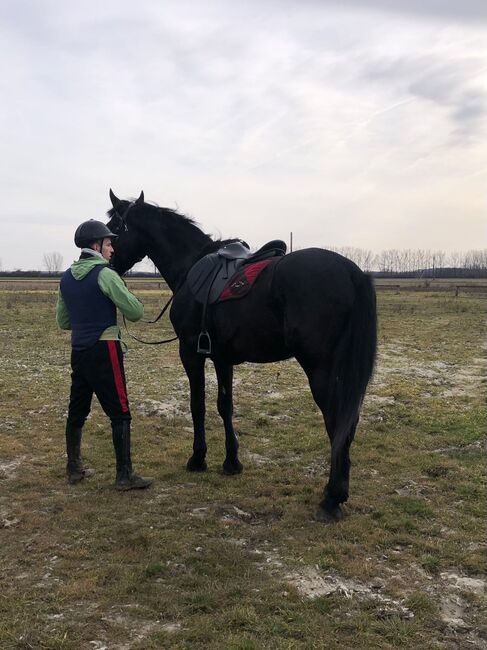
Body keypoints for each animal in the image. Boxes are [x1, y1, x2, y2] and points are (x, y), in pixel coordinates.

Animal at [107, 190, 378, 520]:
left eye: (113, 228)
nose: (107, 263)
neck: (190, 265)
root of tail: (352, 272)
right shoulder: (223, 358)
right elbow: (225, 407)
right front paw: (231, 462)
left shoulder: (190, 353)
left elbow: (197, 405)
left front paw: (197, 459)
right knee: (348, 422)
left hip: (321, 369)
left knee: (336, 420)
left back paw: (331, 498)